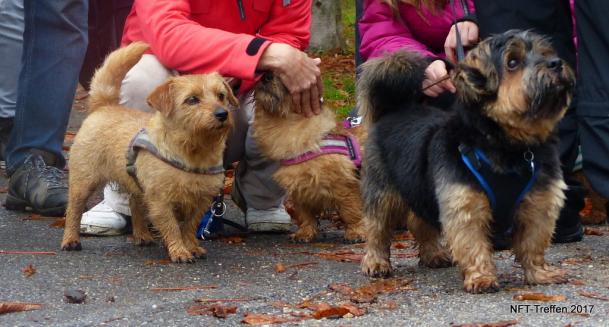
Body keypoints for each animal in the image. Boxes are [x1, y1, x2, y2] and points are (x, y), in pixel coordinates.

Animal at [60, 43, 238, 264]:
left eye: (221, 95)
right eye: (192, 100)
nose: (222, 114)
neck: (193, 151)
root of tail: (104, 105)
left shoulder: (201, 201)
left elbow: (189, 227)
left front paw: (192, 247)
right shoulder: (161, 201)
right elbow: (173, 228)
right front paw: (180, 251)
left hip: (136, 186)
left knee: (135, 206)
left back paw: (142, 235)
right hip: (83, 183)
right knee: (73, 211)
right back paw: (70, 240)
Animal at [252, 74, 366, 243]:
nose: (265, 76)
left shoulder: (346, 186)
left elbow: (351, 211)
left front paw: (356, 232)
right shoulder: (300, 188)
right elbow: (305, 215)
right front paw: (304, 233)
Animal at [356, 30, 576, 292]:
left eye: (545, 53)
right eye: (513, 62)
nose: (556, 63)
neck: (510, 147)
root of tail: (394, 109)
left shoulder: (539, 205)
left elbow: (533, 242)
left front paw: (539, 273)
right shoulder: (465, 206)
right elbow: (473, 244)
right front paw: (482, 277)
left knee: (420, 222)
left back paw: (433, 254)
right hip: (382, 193)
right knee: (376, 228)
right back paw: (376, 262)